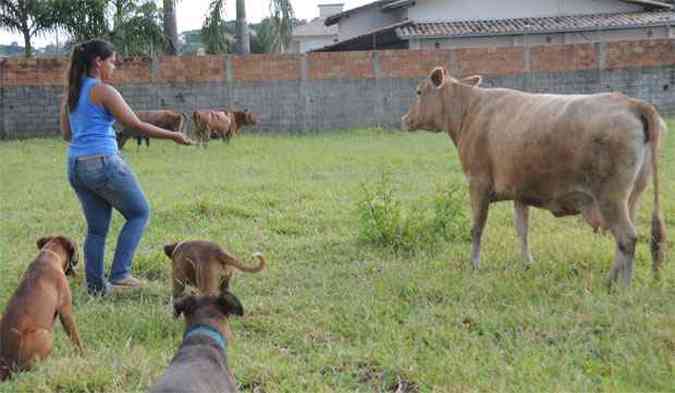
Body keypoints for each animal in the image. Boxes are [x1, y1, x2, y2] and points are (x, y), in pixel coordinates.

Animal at [0, 236, 84, 380]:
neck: (50, 254)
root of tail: (6, 365)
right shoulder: (66, 311)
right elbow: (75, 337)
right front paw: (83, 355)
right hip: (44, 334)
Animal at [398, 66, 668, 288]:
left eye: (419, 91)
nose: (405, 119)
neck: (470, 110)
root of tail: (632, 103)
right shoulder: (520, 191)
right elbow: (522, 229)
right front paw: (527, 263)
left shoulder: (478, 184)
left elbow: (477, 227)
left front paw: (474, 264)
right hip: (632, 196)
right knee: (622, 241)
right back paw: (610, 280)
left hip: (610, 197)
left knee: (627, 237)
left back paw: (624, 287)